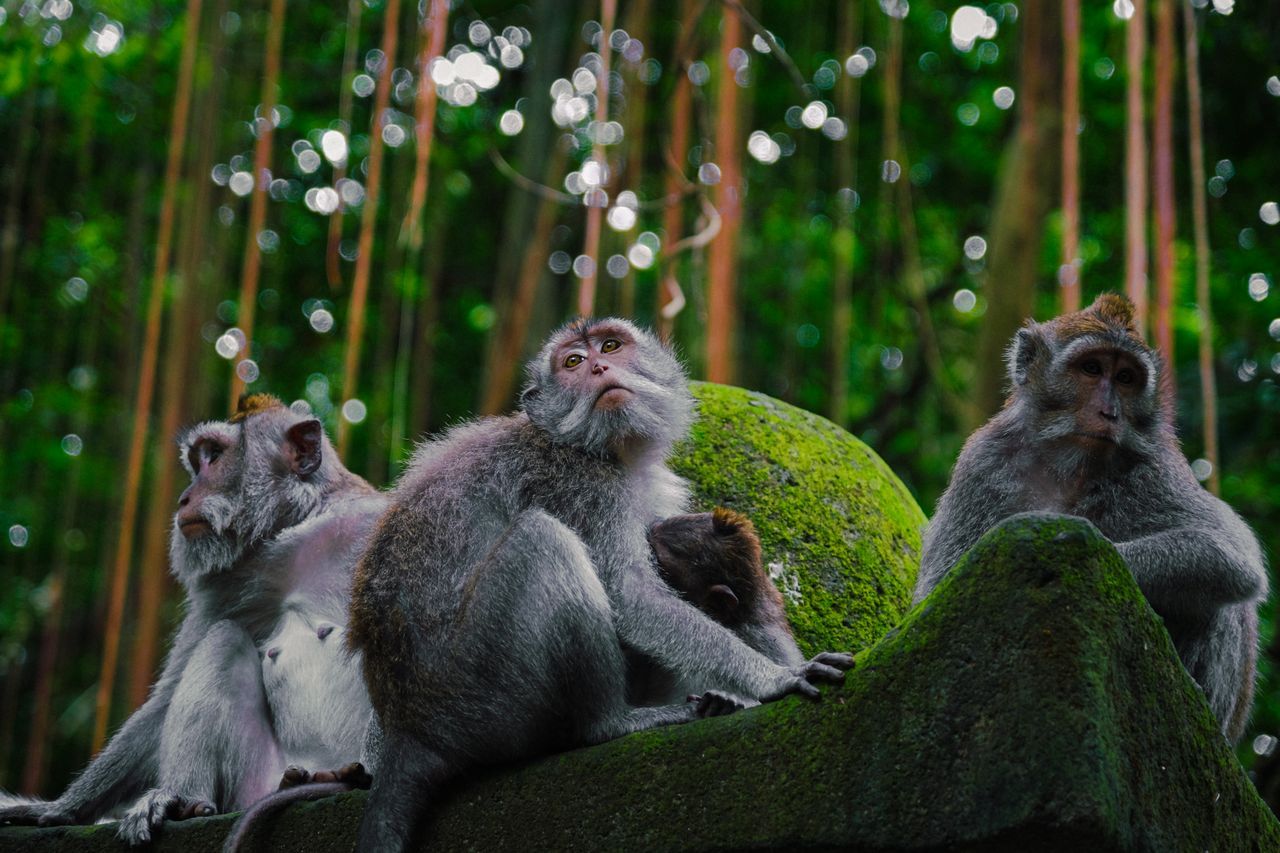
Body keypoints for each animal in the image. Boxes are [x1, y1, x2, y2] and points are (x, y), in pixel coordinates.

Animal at [0, 395, 385, 843]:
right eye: (196, 461)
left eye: (214, 457)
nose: (183, 498)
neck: (301, 528)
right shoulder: (229, 583)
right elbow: (167, 696)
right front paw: (61, 809)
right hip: (256, 782)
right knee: (222, 641)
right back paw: (182, 800)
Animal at [346, 317, 854, 852]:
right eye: (572, 362)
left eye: (610, 346)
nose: (597, 367)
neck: (598, 448)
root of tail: (409, 730)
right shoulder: (583, 485)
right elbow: (632, 596)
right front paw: (775, 679)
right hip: (476, 692)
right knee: (543, 540)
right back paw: (610, 723)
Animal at [914, 294, 1267, 741]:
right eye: (1092, 369)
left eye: (1126, 378)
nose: (1110, 412)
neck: (1069, 464)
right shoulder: (982, 463)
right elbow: (939, 594)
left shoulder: (1157, 468)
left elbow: (1232, 555)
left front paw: (1071, 542)